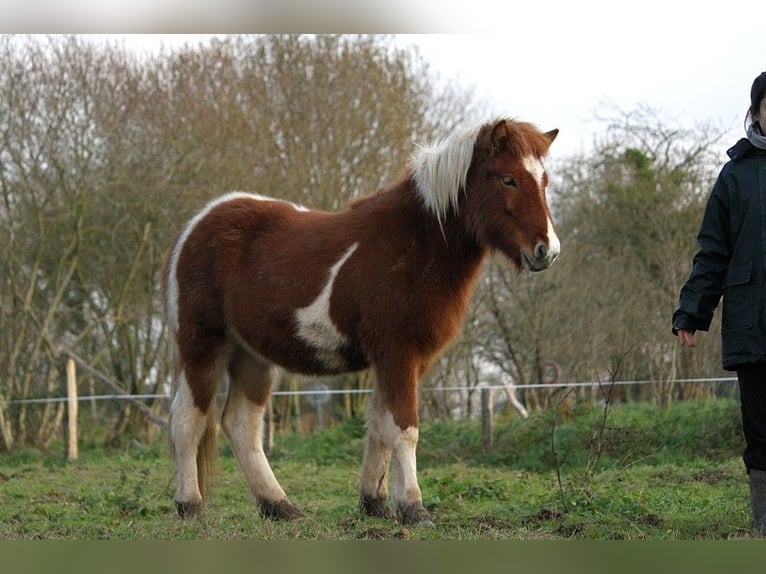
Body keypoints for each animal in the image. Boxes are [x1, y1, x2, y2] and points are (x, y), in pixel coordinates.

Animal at [165, 117, 560, 528]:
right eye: (508, 179)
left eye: (544, 180)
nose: (547, 251)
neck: (417, 244)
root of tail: (195, 227)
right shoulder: (398, 354)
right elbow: (404, 429)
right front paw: (414, 508)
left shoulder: (402, 361)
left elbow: (380, 427)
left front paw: (376, 502)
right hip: (202, 345)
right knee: (188, 420)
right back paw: (190, 504)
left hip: (252, 356)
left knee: (241, 425)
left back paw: (279, 505)